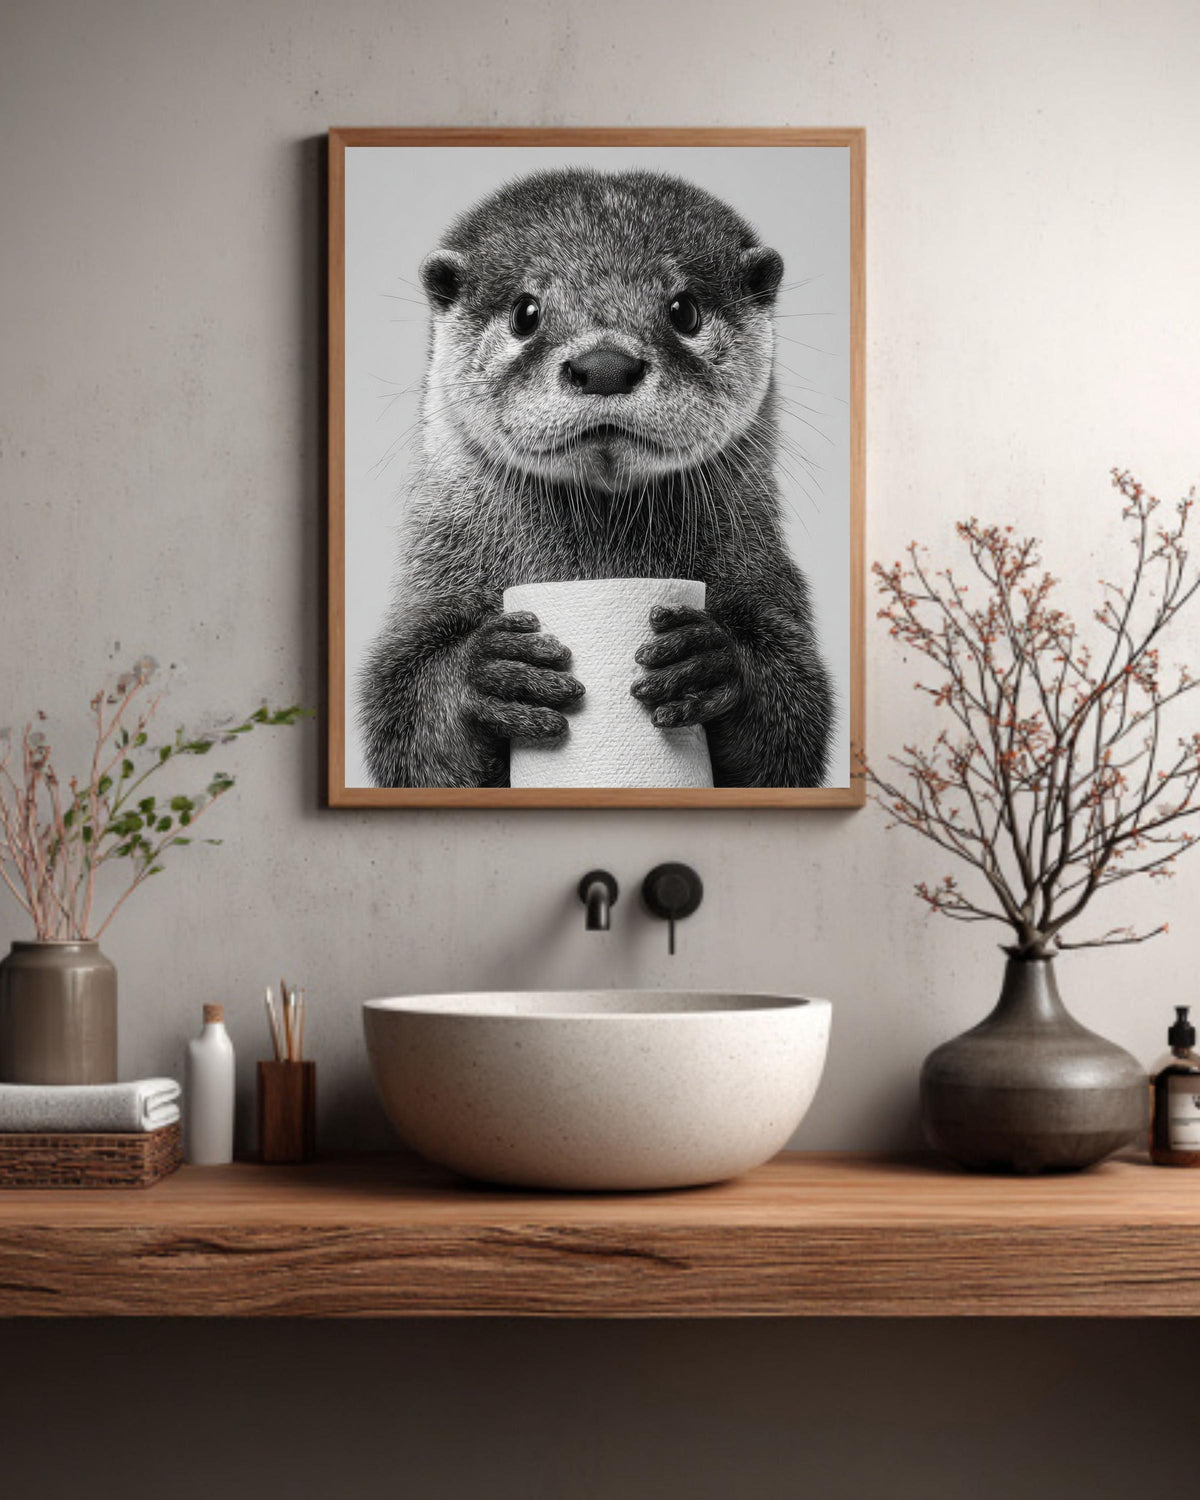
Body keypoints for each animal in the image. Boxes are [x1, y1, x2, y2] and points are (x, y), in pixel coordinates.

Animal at [360, 167, 833, 788]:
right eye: (526, 312)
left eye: (684, 310)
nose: (605, 366)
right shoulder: (431, 582)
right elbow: (406, 728)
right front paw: (486, 673)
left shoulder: (768, 580)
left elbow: (792, 732)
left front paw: (715, 661)